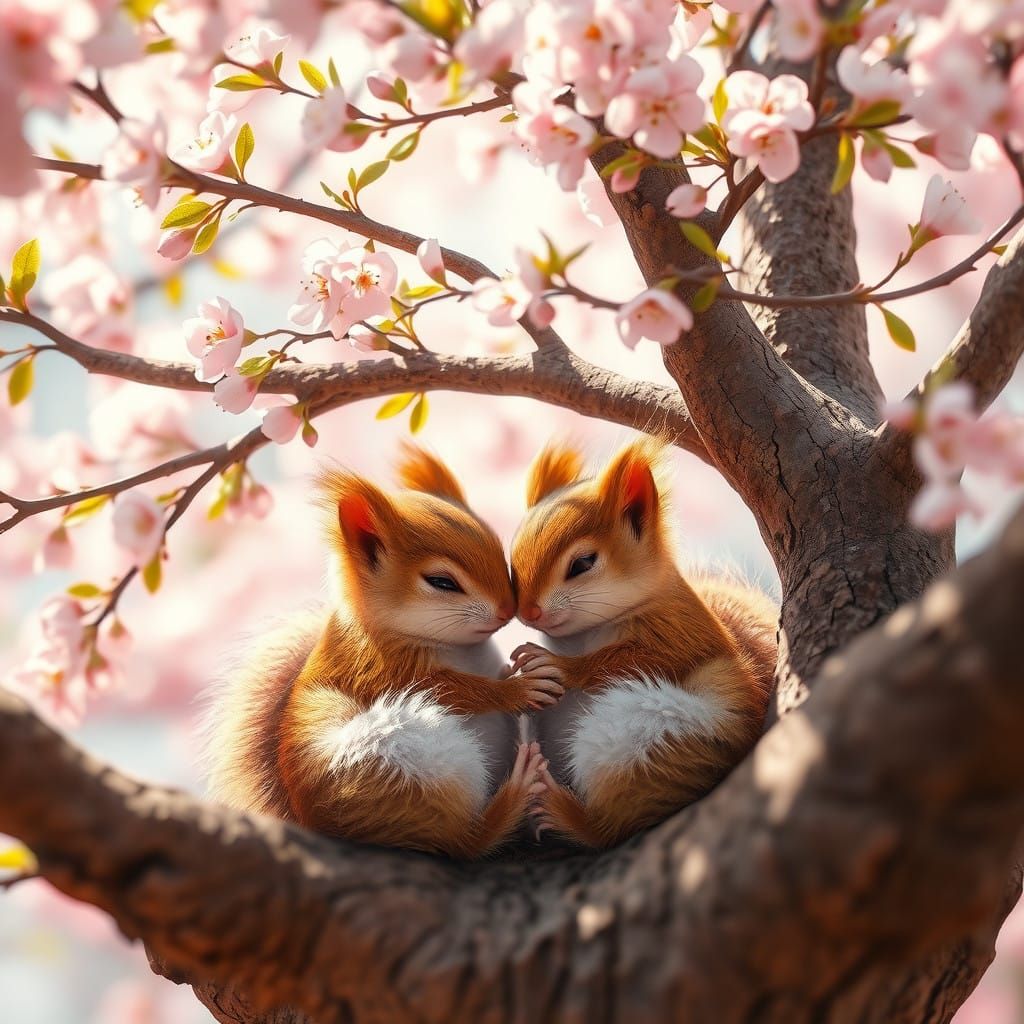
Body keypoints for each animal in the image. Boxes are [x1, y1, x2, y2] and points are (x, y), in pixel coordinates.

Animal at [203, 445, 563, 858]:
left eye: (499, 552)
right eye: (441, 582)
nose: (508, 609)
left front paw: (516, 665)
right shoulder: (377, 669)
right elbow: (448, 689)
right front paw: (517, 688)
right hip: (399, 760)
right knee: (462, 841)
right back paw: (516, 791)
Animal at [508, 437, 777, 849]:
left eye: (583, 563)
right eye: (513, 555)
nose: (529, 612)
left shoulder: (681, 631)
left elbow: (647, 659)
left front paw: (556, 666)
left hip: (648, 736)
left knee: (610, 827)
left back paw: (555, 804)